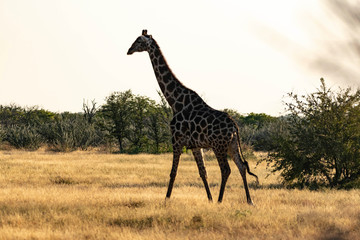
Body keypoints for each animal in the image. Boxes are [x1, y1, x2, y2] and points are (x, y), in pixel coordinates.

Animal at [128, 29, 258, 203]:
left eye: (139, 41)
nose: (129, 50)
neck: (175, 102)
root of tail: (234, 126)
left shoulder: (176, 140)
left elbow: (173, 172)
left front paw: (166, 199)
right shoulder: (195, 146)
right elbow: (203, 173)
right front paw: (209, 199)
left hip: (219, 145)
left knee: (226, 169)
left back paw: (220, 200)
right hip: (232, 144)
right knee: (241, 166)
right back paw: (249, 201)